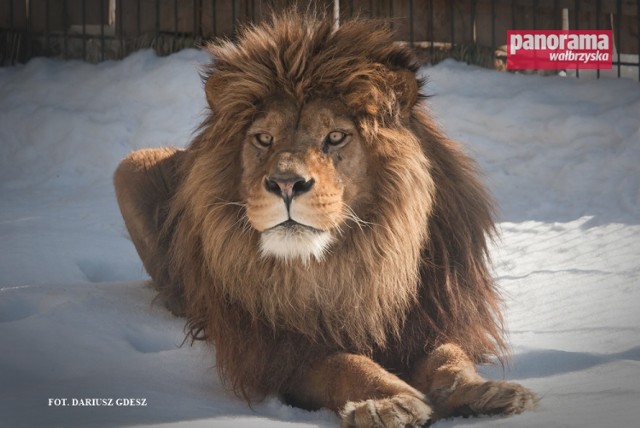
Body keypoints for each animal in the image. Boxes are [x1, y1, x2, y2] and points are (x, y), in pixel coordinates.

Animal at [114, 10, 536, 428]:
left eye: (334, 137)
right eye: (264, 139)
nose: (286, 184)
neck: (349, 265)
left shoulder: (434, 317)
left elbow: (449, 358)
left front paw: (486, 393)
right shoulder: (282, 353)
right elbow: (345, 366)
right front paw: (389, 402)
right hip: (130, 167)